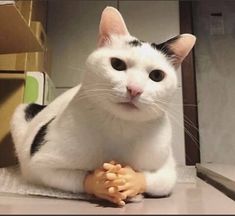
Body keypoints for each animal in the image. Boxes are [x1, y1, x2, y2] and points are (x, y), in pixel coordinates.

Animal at [10, 6, 196, 206]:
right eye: (117, 64)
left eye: (157, 76)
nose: (134, 89)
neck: (120, 125)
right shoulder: (41, 162)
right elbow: (76, 176)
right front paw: (99, 181)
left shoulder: (167, 168)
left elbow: (160, 181)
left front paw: (132, 180)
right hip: (22, 111)